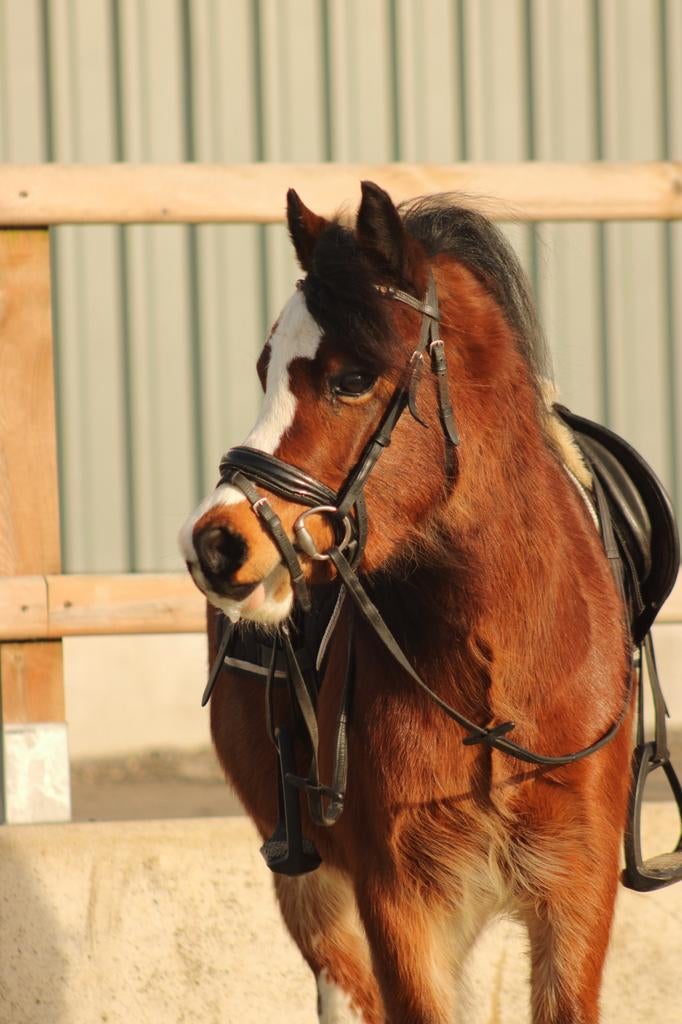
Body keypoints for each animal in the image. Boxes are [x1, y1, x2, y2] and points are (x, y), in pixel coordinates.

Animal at [180, 182, 638, 1023]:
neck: (493, 666)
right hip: (316, 898)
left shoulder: (577, 897)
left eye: (353, 378)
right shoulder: (400, 906)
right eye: (265, 368)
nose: (218, 544)